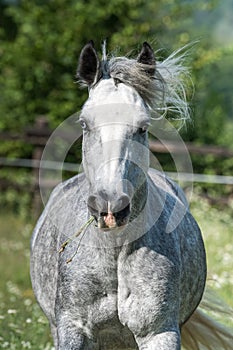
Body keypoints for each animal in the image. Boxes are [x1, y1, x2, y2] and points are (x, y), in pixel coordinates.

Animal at [31, 40, 233, 348]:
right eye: (84, 123)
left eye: (142, 126)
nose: (110, 207)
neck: (114, 251)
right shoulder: (73, 330)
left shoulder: (159, 333)